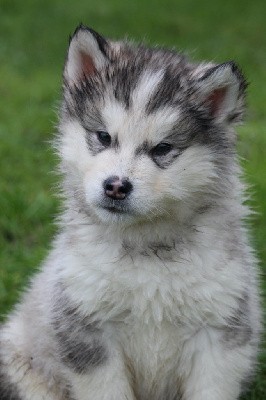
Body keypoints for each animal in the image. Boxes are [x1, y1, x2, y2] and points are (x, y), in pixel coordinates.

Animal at [0, 25, 262, 400]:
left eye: (163, 149)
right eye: (103, 136)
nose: (116, 186)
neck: (146, 245)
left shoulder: (221, 330)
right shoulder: (86, 329)